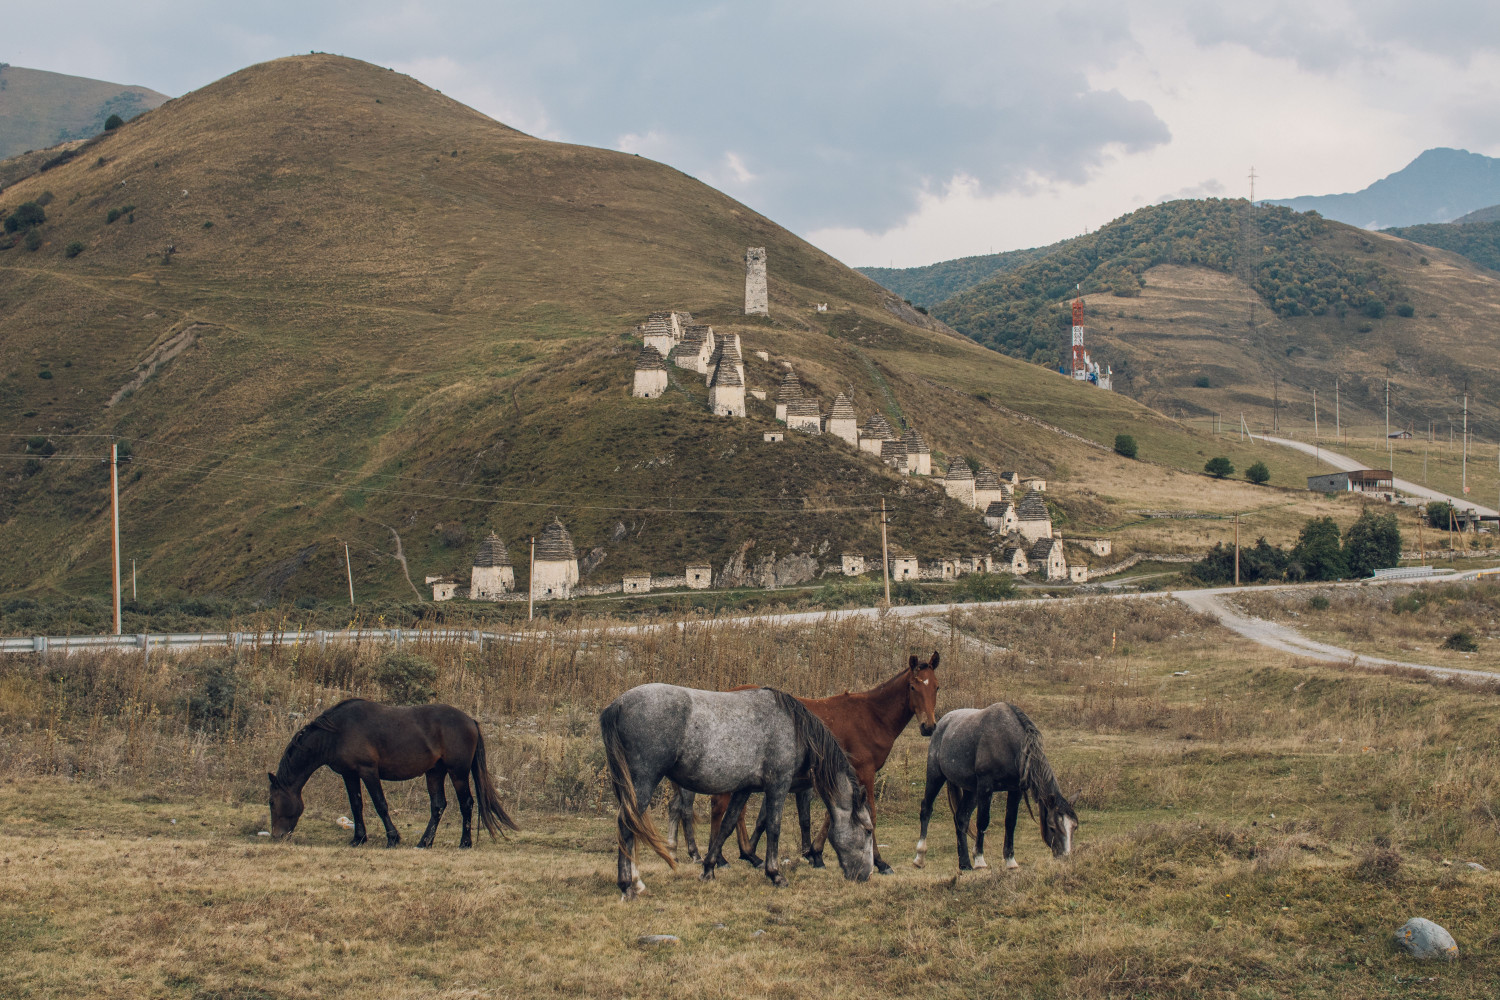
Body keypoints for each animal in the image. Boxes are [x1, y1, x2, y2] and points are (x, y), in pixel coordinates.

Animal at [270, 701, 522, 851]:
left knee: (466, 803)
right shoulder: (350, 775)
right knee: (438, 806)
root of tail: (471, 721)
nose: (276, 836)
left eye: (272, 802)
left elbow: (380, 805)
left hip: (457, 772)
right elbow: (356, 805)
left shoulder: (368, 771)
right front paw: (358, 838)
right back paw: (424, 842)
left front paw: (392, 838)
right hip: (435, 772)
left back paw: (465, 843)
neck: (337, 732)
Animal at [600, 683, 876, 905]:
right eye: (868, 831)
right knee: (627, 824)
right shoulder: (778, 785)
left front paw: (709, 869)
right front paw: (775, 874)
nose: (866, 875)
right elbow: (773, 827)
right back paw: (627, 887)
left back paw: (637, 882)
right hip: (643, 782)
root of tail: (617, 705)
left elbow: (727, 825)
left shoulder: (744, 789)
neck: (792, 726)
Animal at [912, 701, 1080, 869]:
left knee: (961, 818)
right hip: (935, 775)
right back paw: (920, 857)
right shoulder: (986, 786)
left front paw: (1010, 860)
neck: (1008, 743)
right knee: (926, 809)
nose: (1066, 858)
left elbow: (1010, 822)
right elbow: (983, 820)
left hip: (971, 790)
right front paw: (979, 859)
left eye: (1074, 827)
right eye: (1052, 827)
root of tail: (942, 723)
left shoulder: (1015, 789)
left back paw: (965, 864)